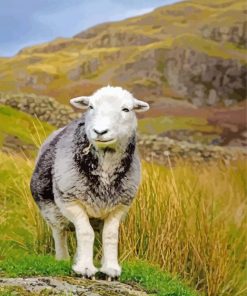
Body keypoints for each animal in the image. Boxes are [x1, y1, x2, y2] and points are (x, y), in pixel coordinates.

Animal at [29, 85, 150, 280]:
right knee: (60, 232)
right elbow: (85, 233)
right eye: (91, 106)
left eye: (126, 109)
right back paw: (63, 259)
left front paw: (110, 270)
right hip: (52, 211)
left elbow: (110, 236)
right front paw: (85, 269)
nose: (100, 132)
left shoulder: (119, 207)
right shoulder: (70, 200)